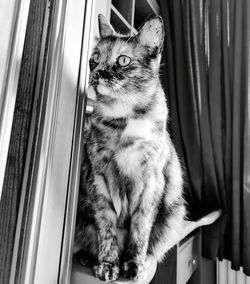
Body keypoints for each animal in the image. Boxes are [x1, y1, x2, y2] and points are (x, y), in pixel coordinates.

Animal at [74, 13, 186, 282]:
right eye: (95, 57)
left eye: (123, 60)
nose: (98, 72)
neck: (122, 120)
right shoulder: (98, 179)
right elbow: (106, 227)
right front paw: (108, 264)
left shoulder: (152, 182)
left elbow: (140, 228)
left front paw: (133, 264)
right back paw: (88, 258)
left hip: (175, 214)